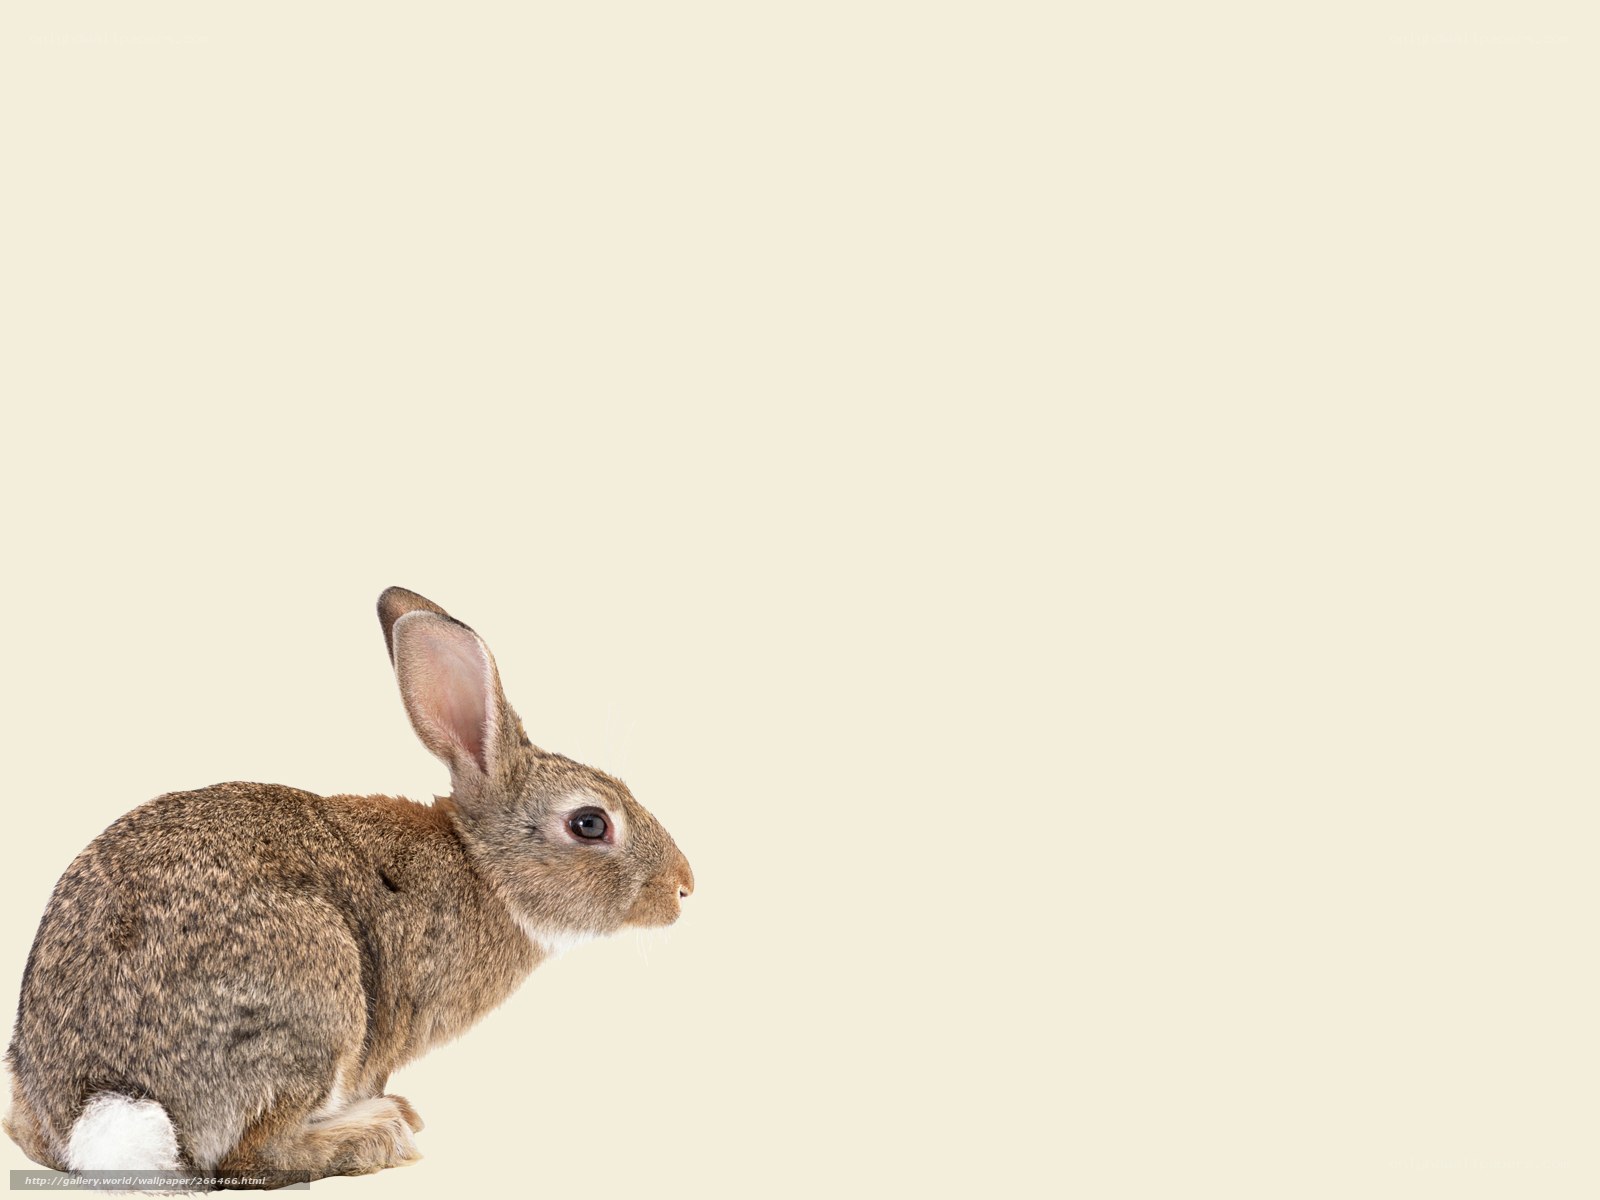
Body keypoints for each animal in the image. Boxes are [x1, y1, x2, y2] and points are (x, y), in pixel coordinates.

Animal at [3, 587, 694, 1187]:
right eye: (590, 823)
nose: (684, 886)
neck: (481, 865)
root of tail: (102, 1105)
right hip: (317, 996)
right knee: (252, 1155)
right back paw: (377, 1134)